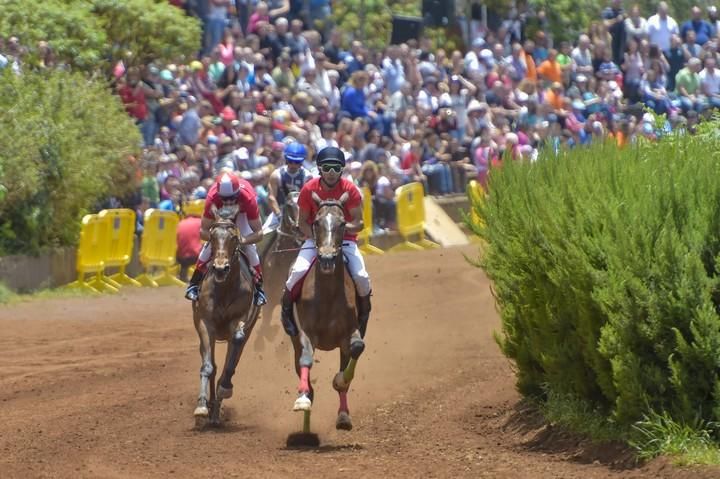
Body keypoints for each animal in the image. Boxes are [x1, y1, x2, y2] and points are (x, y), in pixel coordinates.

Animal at [193, 205, 260, 428]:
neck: (223, 289)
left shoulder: (240, 319)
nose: (220, 268)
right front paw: (201, 406)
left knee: (231, 360)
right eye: (212, 236)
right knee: (213, 365)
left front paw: (224, 389)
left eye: (233, 238)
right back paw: (211, 409)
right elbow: (208, 366)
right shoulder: (205, 323)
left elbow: (229, 362)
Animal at [288, 191, 366, 438]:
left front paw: (340, 382)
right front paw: (302, 400)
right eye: (316, 222)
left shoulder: (348, 333)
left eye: (342, 224)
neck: (328, 294)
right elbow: (306, 359)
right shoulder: (306, 333)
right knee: (303, 367)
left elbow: (356, 349)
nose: (327, 259)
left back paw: (343, 416)